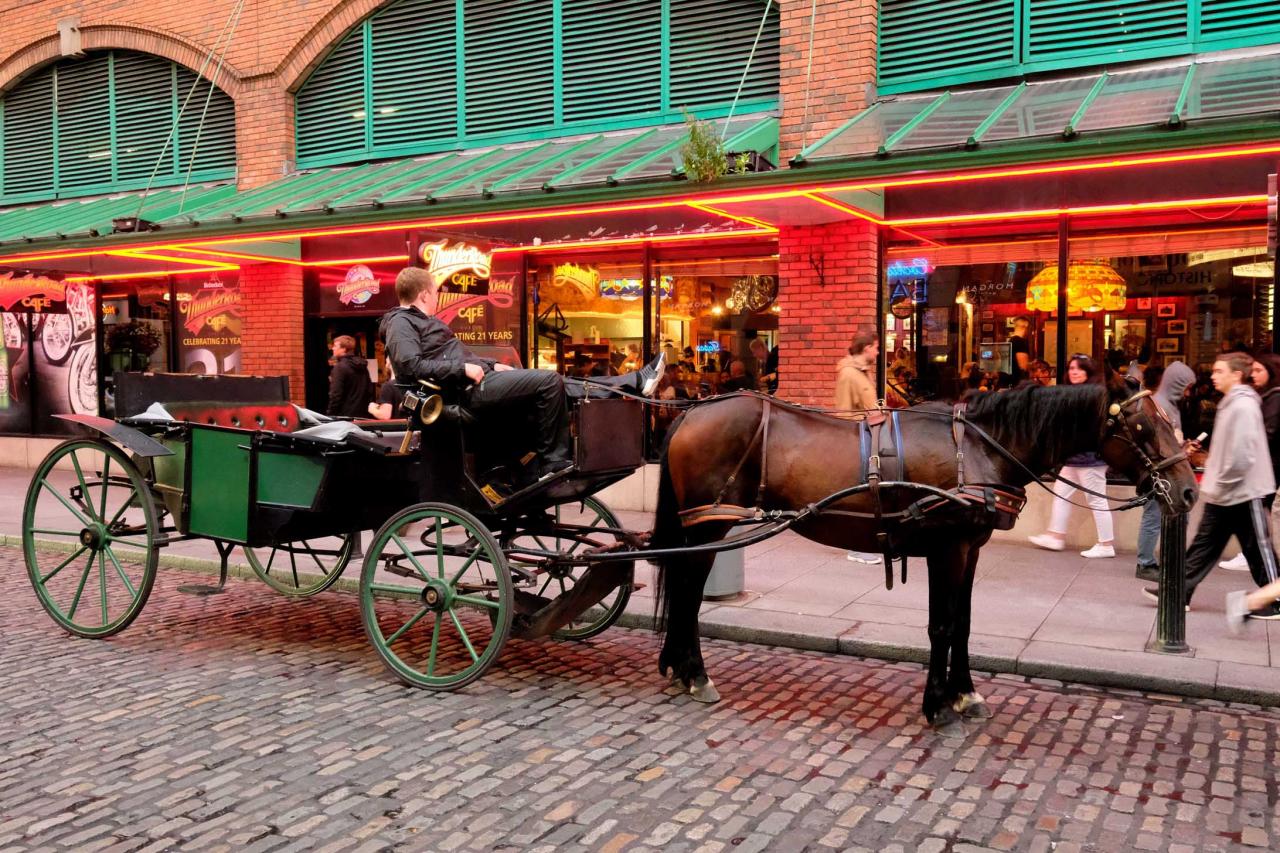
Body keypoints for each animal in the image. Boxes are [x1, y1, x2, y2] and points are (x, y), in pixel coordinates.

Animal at [650, 379, 1198, 732]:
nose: (1189, 490)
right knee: (689, 591)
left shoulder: (970, 548)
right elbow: (942, 625)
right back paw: (695, 672)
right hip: (711, 522)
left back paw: (678, 666)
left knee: (683, 588)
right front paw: (937, 703)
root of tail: (690, 411)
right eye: (1143, 428)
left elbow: (965, 623)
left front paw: (966, 693)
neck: (979, 448)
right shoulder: (946, 546)